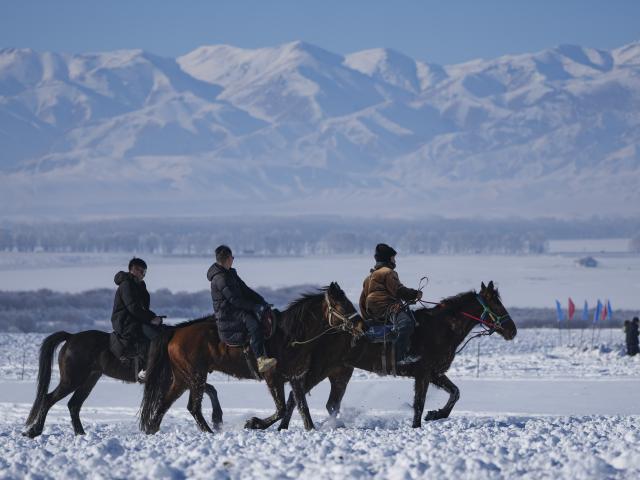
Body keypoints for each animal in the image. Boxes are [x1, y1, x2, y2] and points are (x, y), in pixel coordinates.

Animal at [23, 330, 223, 438]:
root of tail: (71, 337)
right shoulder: (183, 379)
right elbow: (209, 390)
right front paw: (216, 420)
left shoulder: (186, 380)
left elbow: (211, 390)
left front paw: (217, 420)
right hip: (72, 380)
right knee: (48, 399)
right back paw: (34, 431)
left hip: (89, 380)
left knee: (74, 404)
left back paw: (81, 434)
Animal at [139, 282, 362, 434]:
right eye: (342, 305)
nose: (362, 325)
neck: (289, 336)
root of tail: (175, 332)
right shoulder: (273, 378)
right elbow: (282, 409)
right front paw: (253, 423)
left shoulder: (296, 378)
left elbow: (300, 406)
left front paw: (310, 429)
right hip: (195, 377)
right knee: (193, 407)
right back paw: (210, 432)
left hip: (182, 378)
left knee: (164, 404)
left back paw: (152, 429)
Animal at [276, 281, 517, 429]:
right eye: (497, 304)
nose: (512, 331)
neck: (442, 327)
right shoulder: (424, 373)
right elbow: (419, 403)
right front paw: (418, 424)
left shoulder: (435, 373)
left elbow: (455, 393)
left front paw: (436, 414)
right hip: (320, 370)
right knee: (295, 396)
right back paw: (282, 426)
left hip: (340, 373)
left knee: (329, 404)